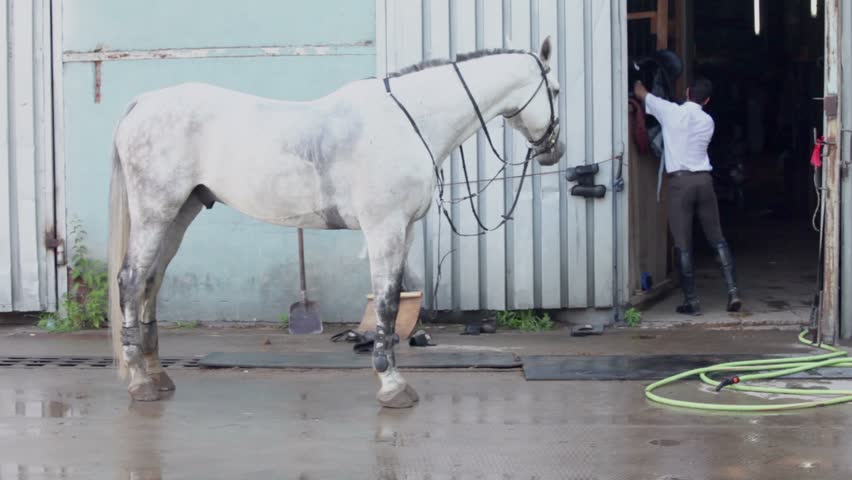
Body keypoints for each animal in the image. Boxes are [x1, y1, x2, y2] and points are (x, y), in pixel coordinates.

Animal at [107, 37, 564, 408]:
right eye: (556, 90)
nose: (554, 151)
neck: (408, 120)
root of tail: (143, 103)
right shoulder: (385, 228)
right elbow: (386, 301)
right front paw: (392, 384)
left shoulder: (404, 228)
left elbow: (394, 300)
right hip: (155, 212)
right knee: (131, 280)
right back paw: (140, 381)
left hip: (180, 213)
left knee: (151, 281)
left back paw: (157, 374)